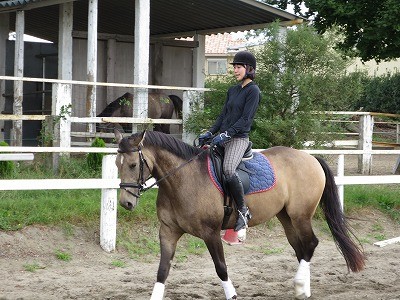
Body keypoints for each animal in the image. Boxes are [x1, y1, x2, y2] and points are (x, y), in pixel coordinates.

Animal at [113, 130, 366, 298]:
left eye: (133, 165)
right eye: (116, 164)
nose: (126, 203)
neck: (182, 180)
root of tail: (311, 157)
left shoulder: (211, 233)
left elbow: (221, 267)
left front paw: (232, 294)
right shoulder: (168, 231)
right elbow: (162, 270)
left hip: (300, 215)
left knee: (311, 243)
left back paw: (300, 285)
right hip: (286, 217)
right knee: (301, 248)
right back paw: (304, 289)